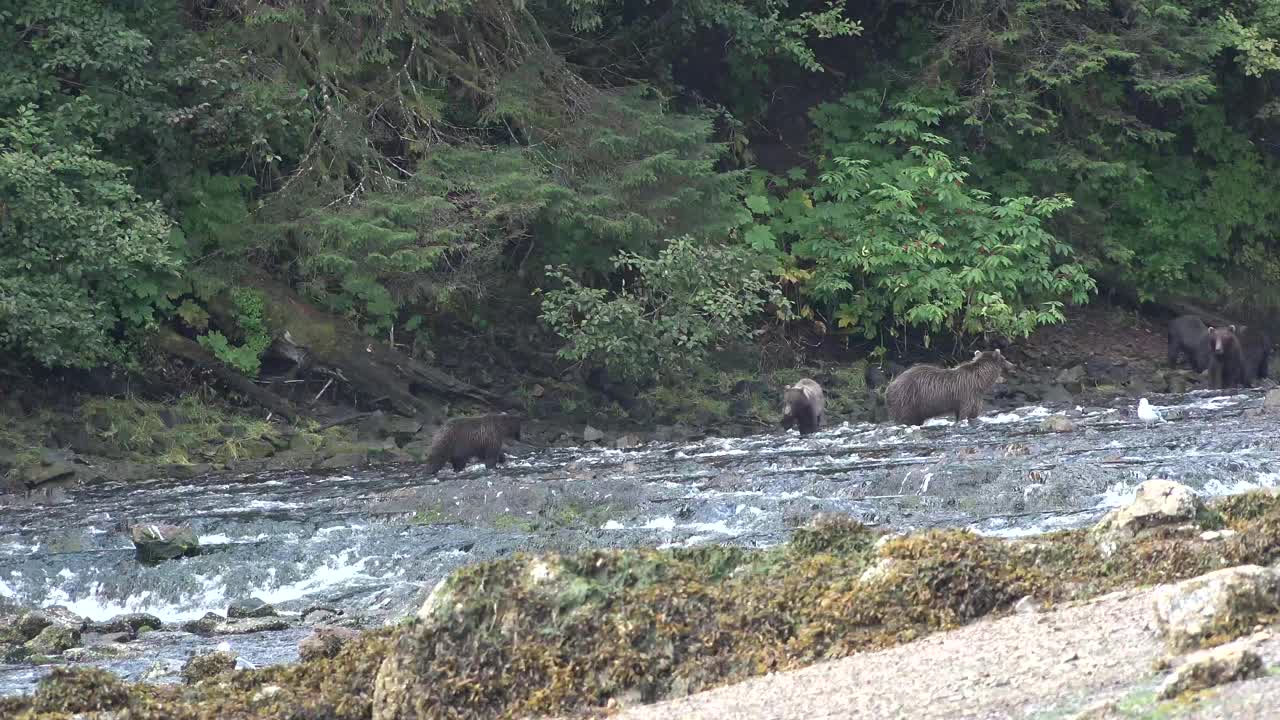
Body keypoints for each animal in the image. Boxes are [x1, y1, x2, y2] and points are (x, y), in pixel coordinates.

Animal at [885, 348, 1013, 422]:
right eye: (1004, 358)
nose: (1013, 365)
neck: (980, 381)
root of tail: (889, 386)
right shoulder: (967, 395)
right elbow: (967, 413)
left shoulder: (970, 397)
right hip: (908, 399)